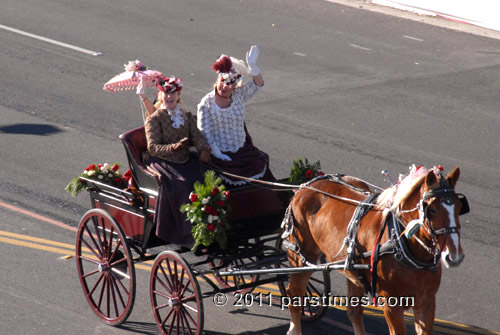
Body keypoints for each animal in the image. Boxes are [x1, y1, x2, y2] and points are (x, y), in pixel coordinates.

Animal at [286, 167, 468, 334]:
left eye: (460, 207)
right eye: (432, 209)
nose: (454, 256)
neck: (400, 244)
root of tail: (306, 186)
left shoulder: (426, 302)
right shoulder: (392, 305)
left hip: (353, 272)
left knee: (354, 312)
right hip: (301, 257)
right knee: (294, 294)